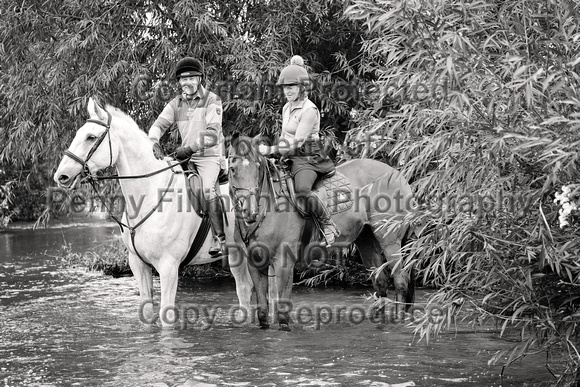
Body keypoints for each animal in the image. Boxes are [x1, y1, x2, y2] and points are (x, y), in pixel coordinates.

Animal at [53, 98, 253, 328]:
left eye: (91, 137)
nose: (61, 176)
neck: (149, 193)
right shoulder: (138, 265)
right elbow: (147, 313)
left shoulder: (168, 267)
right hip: (237, 253)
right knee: (244, 287)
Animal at [227, 136, 416, 330]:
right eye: (233, 169)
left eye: (258, 168)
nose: (250, 212)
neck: (270, 207)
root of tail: (397, 174)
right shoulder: (255, 263)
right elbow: (263, 311)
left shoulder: (284, 262)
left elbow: (283, 311)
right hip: (367, 239)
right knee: (381, 281)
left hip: (390, 239)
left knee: (400, 280)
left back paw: (399, 320)